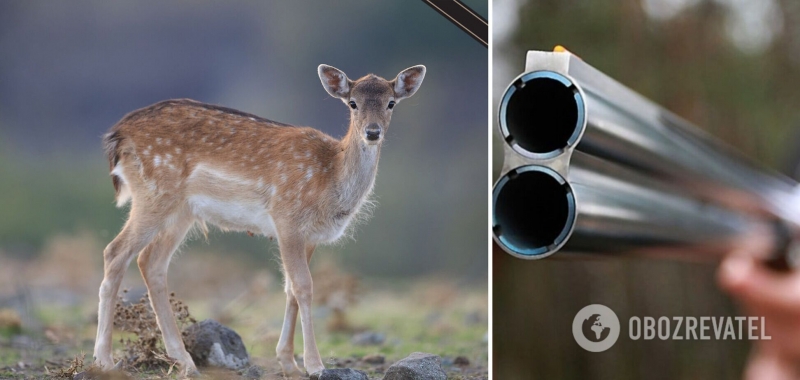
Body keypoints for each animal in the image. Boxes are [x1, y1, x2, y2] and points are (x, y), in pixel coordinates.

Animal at [93, 63, 424, 376]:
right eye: (353, 103)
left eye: (391, 103)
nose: (372, 132)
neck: (330, 182)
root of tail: (117, 135)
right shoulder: (287, 217)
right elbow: (304, 287)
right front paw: (314, 365)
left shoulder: (310, 236)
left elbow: (290, 290)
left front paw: (288, 363)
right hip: (154, 193)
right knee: (115, 252)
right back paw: (105, 360)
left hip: (181, 210)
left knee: (151, 261)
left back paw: (184, 361)